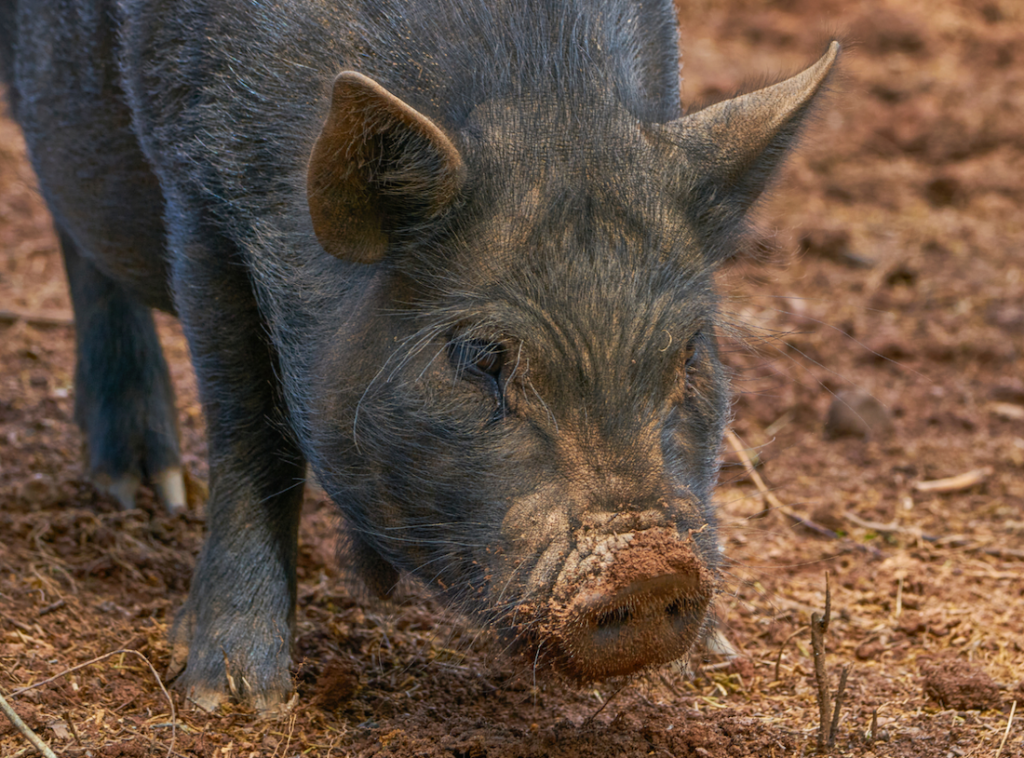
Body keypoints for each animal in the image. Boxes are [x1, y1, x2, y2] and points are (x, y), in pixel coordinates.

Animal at [0, 0, 838, 711]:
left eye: (689, 351)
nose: (652, 569)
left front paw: (716, 652)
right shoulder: (199, 200)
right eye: (479, 357)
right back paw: (145, 490)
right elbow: (252, 436)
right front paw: (230, 697)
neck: (535, 101)